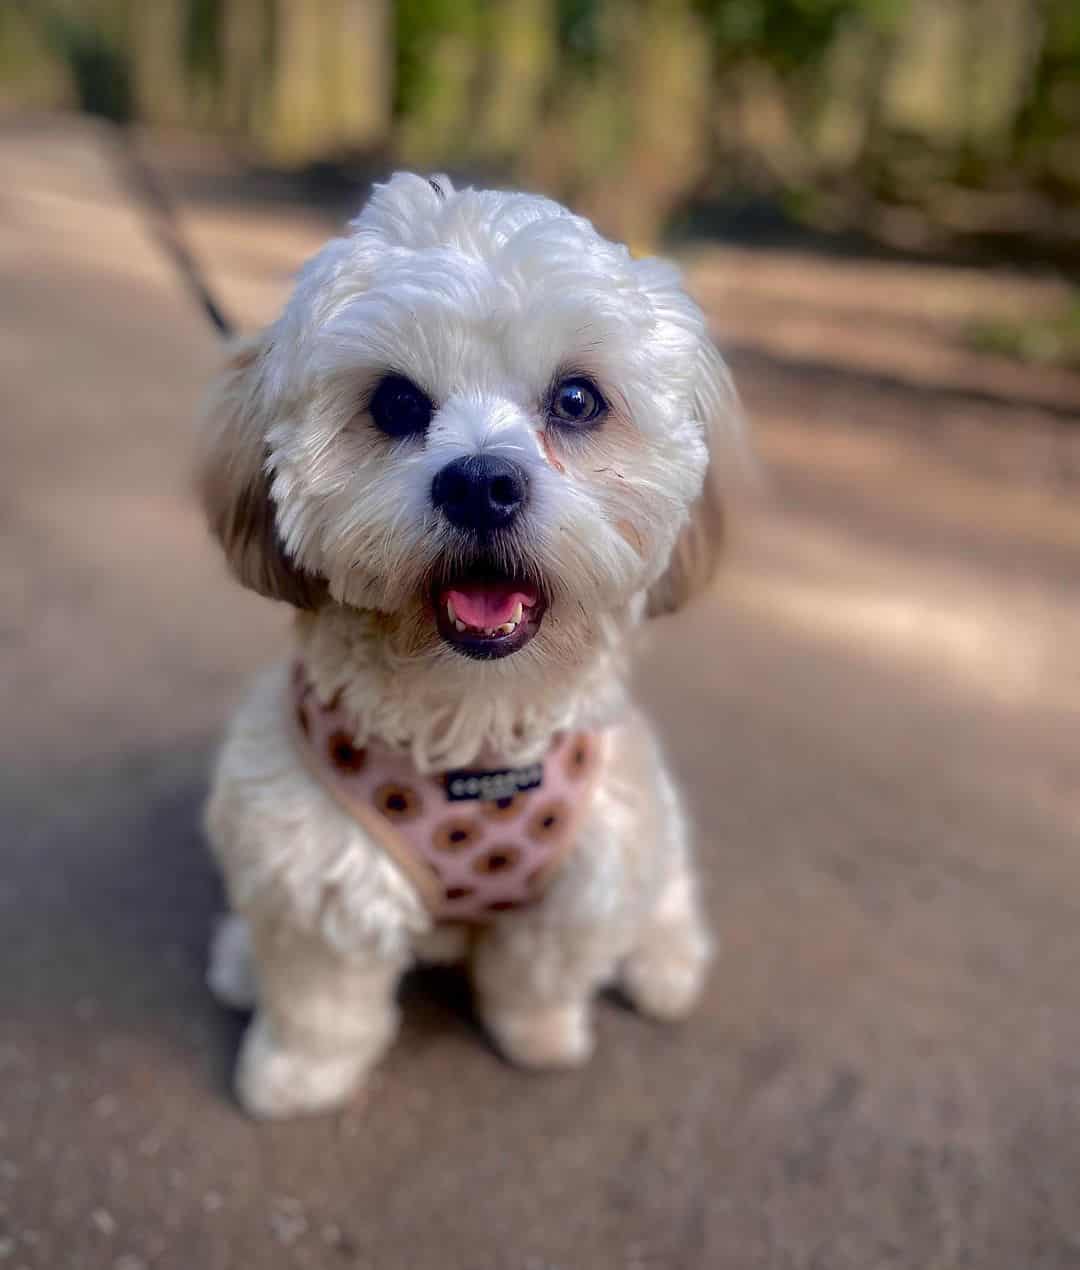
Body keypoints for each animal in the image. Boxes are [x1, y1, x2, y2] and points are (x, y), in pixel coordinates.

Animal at [198, 173, 736, 1117]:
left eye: (577, 400)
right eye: (395, 404)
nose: (482, 484)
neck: (470, 720)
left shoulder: (581, 879)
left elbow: (536, 978)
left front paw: (543, 1042)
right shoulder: (314, 878)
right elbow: (320, 1006)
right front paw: (295, 1079)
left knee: (665, 898)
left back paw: (667, 968)